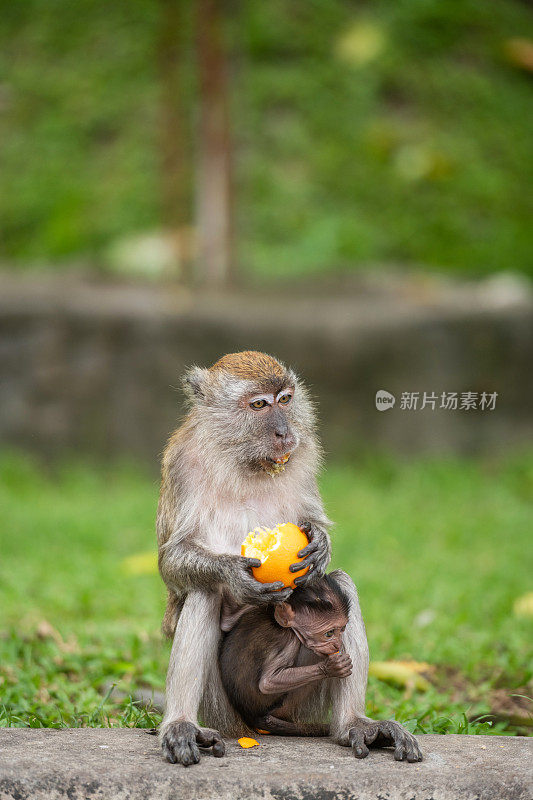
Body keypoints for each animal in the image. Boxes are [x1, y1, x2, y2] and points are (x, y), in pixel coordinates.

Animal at [218, 572, 352, 736]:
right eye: (329, 633)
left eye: (342, 629)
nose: (337, 645)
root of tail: (250, 716)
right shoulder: (291, 640)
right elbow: (268, 683)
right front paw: (332, 667)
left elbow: (226, 622)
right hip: (282, 708)